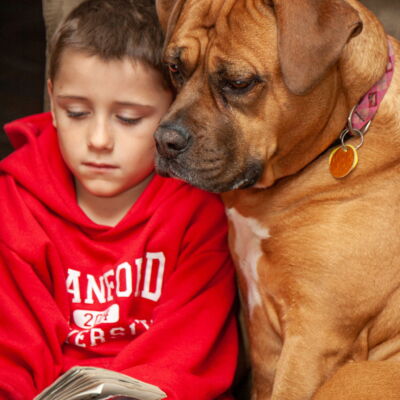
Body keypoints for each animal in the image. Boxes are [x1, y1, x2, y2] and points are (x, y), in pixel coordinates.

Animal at [154, 0, 400, 398]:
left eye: (239, 83)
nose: (164, 141)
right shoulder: (263, 332)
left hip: (352, 378)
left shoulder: (314, 338)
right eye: (175, 68)